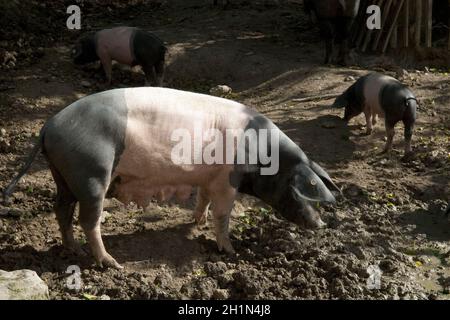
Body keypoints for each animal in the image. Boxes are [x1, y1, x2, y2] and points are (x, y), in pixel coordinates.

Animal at [2, 87, 342, 270]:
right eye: (304, 188)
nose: (321, 224)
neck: (264, 156)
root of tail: (48, 127)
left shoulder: (209, 178)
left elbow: (203, 201)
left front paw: (195, 223)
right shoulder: (226, 180)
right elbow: (223, 215)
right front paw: (230, 250)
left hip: (63, 175)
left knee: (61, 210)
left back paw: (73, 250)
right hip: (92, 173)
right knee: (89, 219)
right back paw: (111, 263)